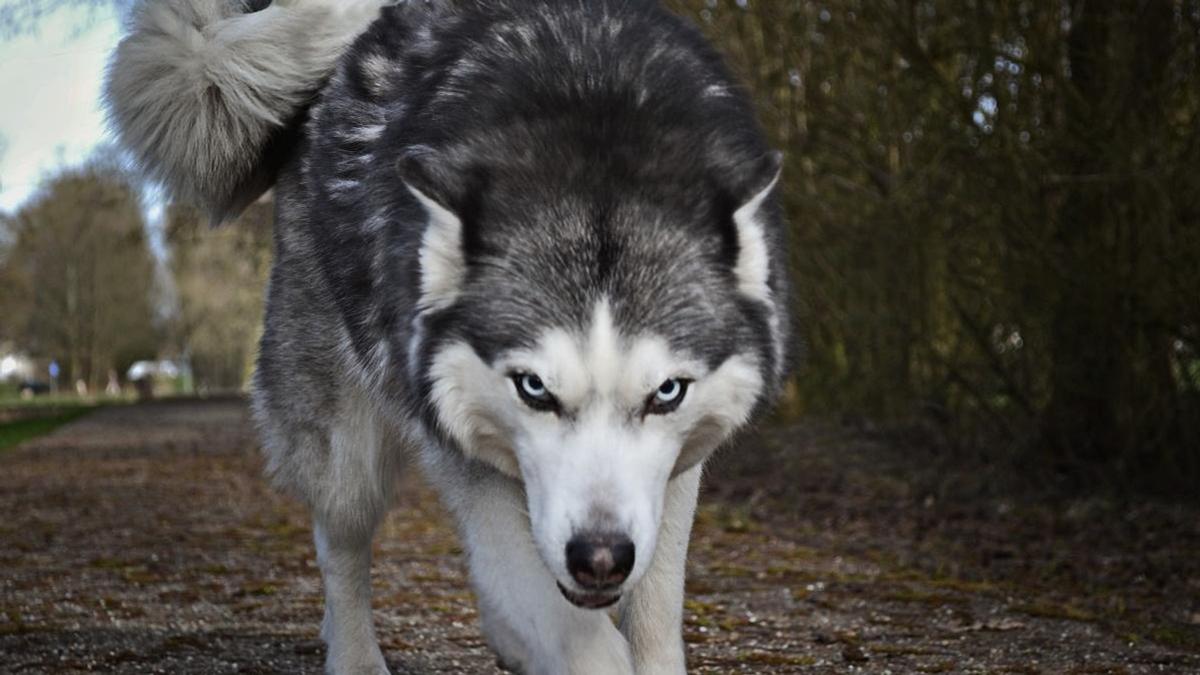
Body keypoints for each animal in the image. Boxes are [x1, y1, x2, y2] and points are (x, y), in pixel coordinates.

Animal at [108, 2, 792, 667]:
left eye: (668, 392)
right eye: (533, 388)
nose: (599, 557)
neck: (595, 116)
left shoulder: (672, 478)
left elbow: (650, 615)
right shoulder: (461, 446)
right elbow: (571, 632)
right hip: (345, 450)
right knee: (340, 545)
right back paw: (356, 658)